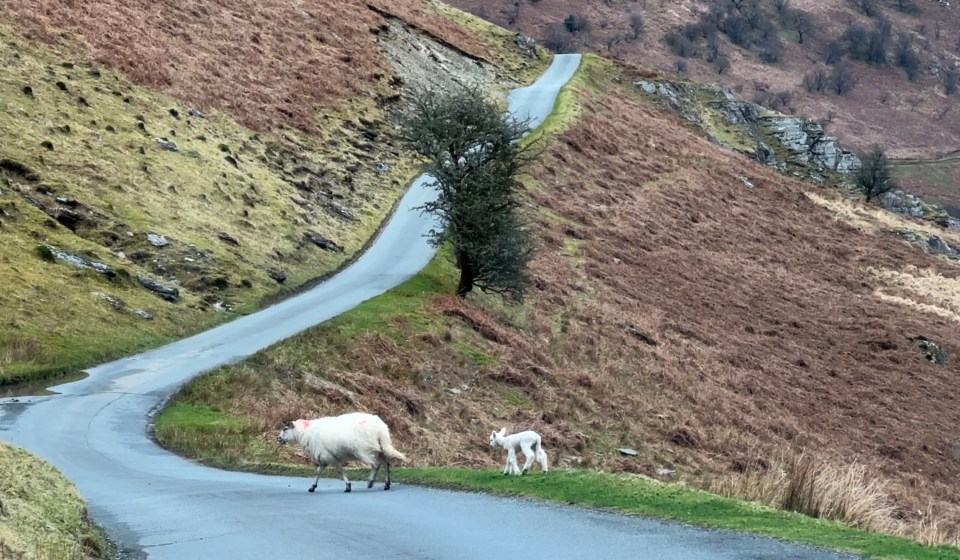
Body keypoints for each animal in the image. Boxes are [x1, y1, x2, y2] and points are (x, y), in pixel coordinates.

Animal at [276, 412, 406, 494]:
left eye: (285, 429)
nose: (278, 438)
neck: (304, 433)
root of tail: (381, 429)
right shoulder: (327, 457)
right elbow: (319, 472)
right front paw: (312, 487)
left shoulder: (327, 455)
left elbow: (338, 470)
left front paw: (348, 486)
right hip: (378, 448)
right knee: (385, 463)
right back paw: (386, 484)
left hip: (364, 450)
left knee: (375, 464)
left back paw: (370, 482)